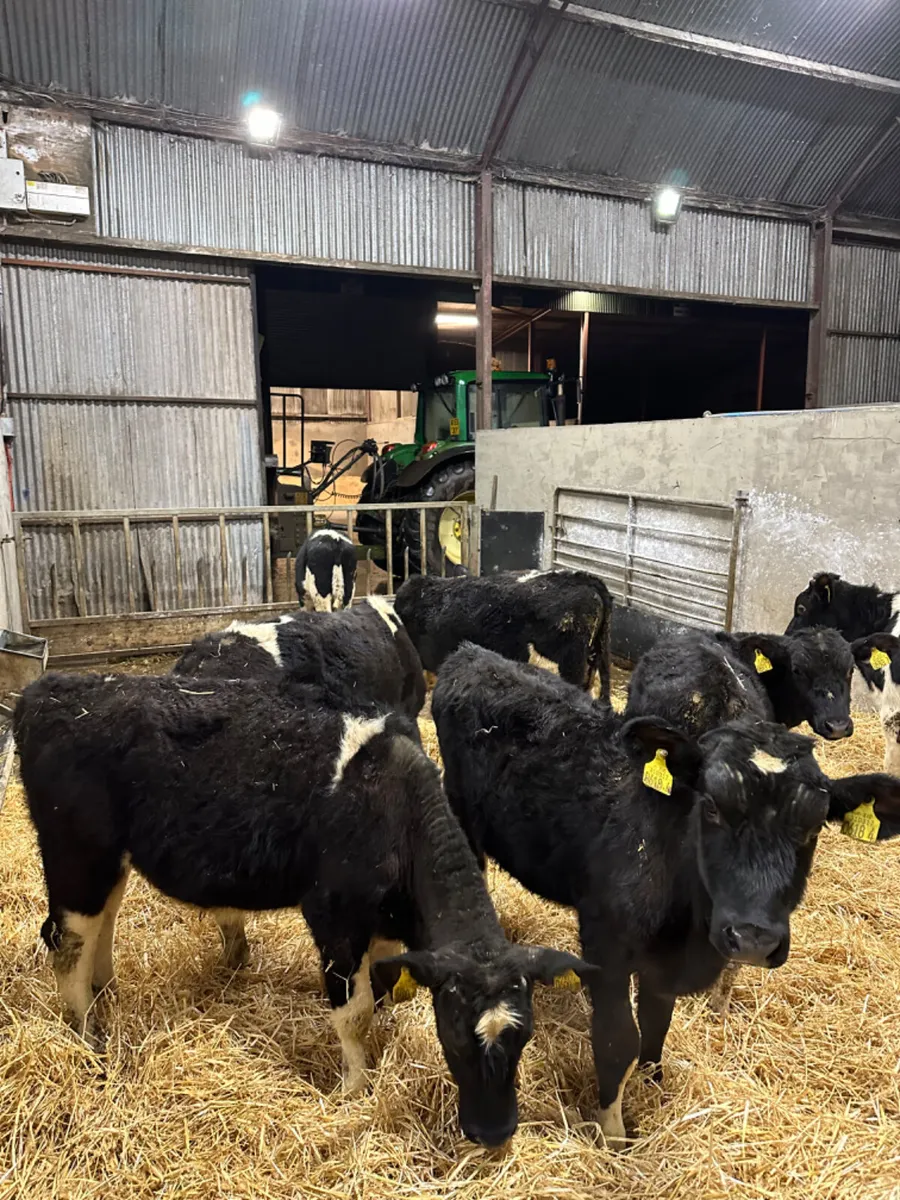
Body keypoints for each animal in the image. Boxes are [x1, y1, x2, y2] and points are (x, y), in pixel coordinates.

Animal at [14, 670, 601, 1148]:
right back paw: (87, 1037)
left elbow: (382, 992)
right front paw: (355, 1088)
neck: (392, 805)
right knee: (66, 942)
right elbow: (354, 1011)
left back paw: (106, 992)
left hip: (110, 859)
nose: (495, 1133)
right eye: (452, 1036)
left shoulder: (383, 925)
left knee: (102, 923)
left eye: (525, 1037)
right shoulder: (333, 913)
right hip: (77, 853)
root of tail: (48, 691)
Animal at [431, 645, 900, 1144]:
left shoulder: (663, 966)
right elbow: (618, 1040)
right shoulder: (605, 946)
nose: (753, 939)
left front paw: (651, 1084)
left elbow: (657, 1026)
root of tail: (471, 654)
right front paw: (614, 1134)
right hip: (461, 813)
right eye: (711, 806)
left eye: (813, 827)